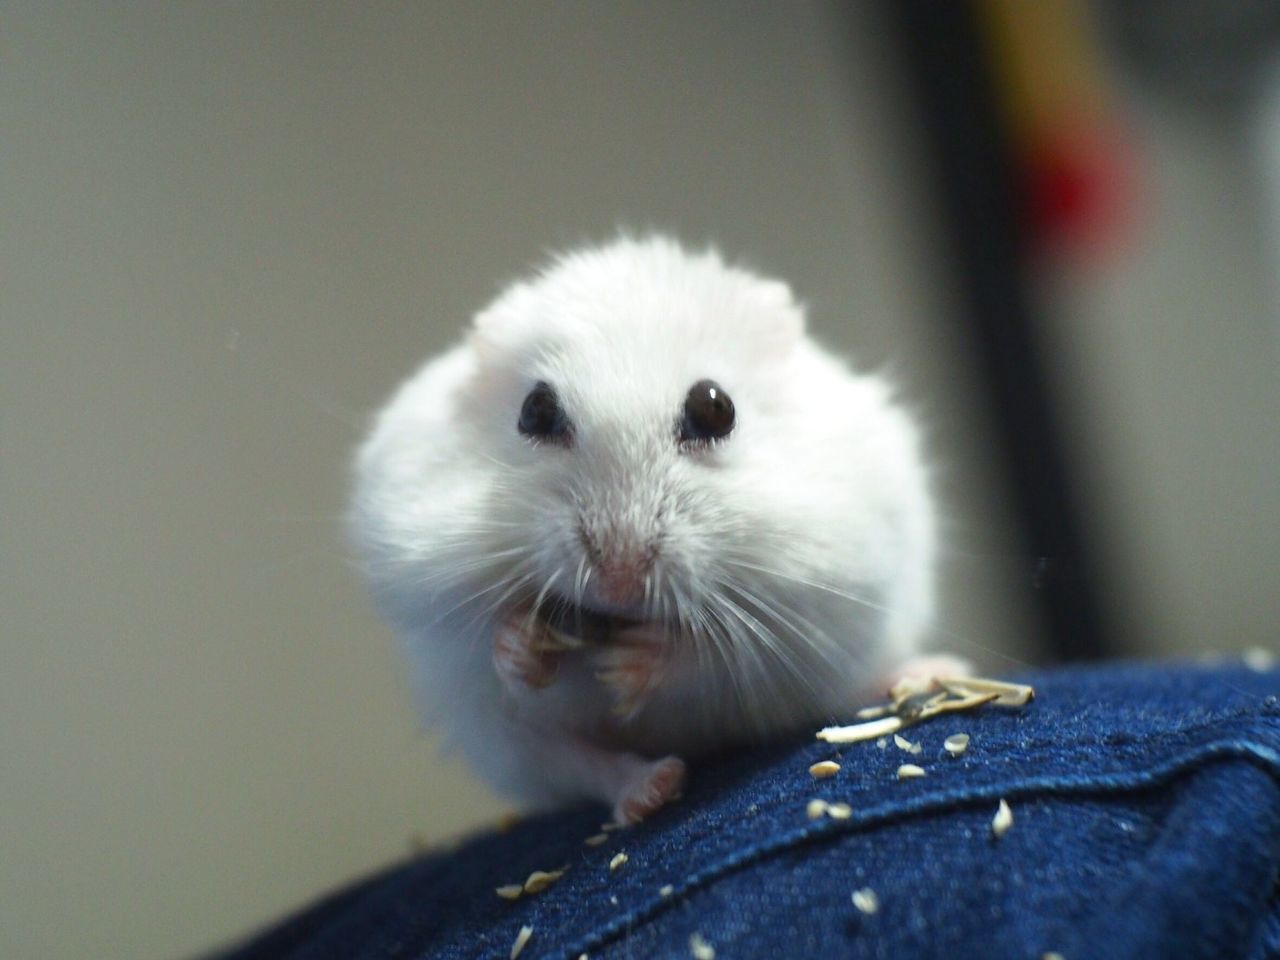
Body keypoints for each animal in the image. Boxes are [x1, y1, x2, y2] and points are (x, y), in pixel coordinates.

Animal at [350, 235, 952, 829]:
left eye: (716, 408)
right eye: (534, 410)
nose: (617, 581)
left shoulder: (810, 611)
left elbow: (714, 658)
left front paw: (625, 668)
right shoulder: (432, 601)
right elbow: (490, 645)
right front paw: (525, 647)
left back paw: (928, 672)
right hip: (506, 743)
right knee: (582, 764)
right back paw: (651, 789)